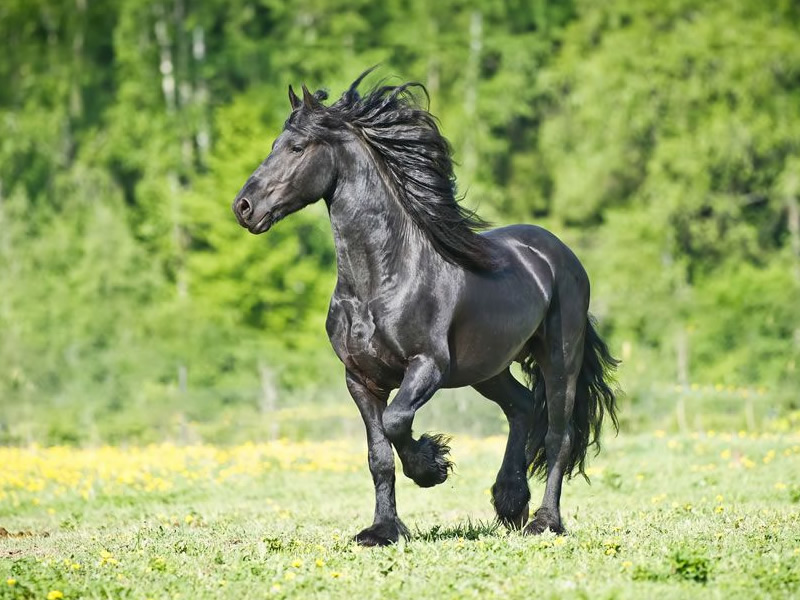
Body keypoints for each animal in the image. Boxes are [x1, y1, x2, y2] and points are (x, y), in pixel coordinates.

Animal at [232, 70, 619, 547]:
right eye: (275, 144)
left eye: (297, 148)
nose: (244, 207)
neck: (380, 282)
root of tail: (559, 253)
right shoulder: (359, 379)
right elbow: (378, 455)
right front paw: (381, 530)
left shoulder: (428, 366)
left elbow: (397, 422)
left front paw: (432, 467)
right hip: (487, 368)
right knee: (522, 406)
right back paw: (510, 501)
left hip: (560, 359)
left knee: (557, 435)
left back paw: (544, 521)